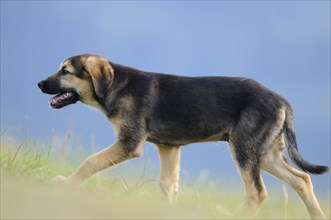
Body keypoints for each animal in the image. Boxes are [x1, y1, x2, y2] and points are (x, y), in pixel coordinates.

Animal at [38, 54, 330, 219]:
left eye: (65, 71)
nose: (39, 84)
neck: (115, 85)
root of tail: (283, 101)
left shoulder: (129, 143)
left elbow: (91, 161)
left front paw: (66, 184)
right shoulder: (169, 148)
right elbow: (168, 186)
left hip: (244, 148)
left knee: (257, 193)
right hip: (266, 153)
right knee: (302, 179)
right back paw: (317, 214)